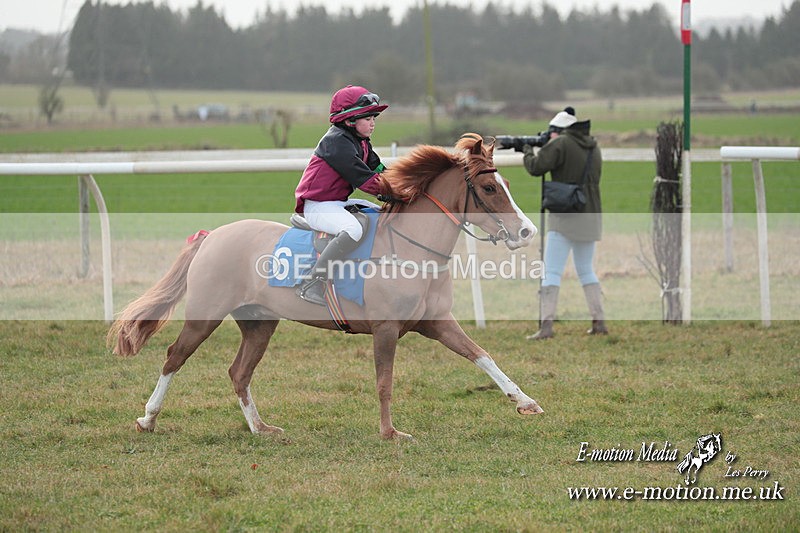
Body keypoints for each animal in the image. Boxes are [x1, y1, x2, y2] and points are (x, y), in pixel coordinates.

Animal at [108, 133, 542, 440]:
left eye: (505, 183)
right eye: (490, 189)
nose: (527, 231)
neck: (410, 250)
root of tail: (212, 235)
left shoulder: (437, 323)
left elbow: (483, 356)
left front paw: (526, 402)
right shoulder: (385, 330)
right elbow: (384, 382)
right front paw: (390, 432)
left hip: (259, 324)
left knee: (239, 372)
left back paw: (260, 428)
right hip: (205, 316)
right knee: (174, 357)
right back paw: (148, 419)